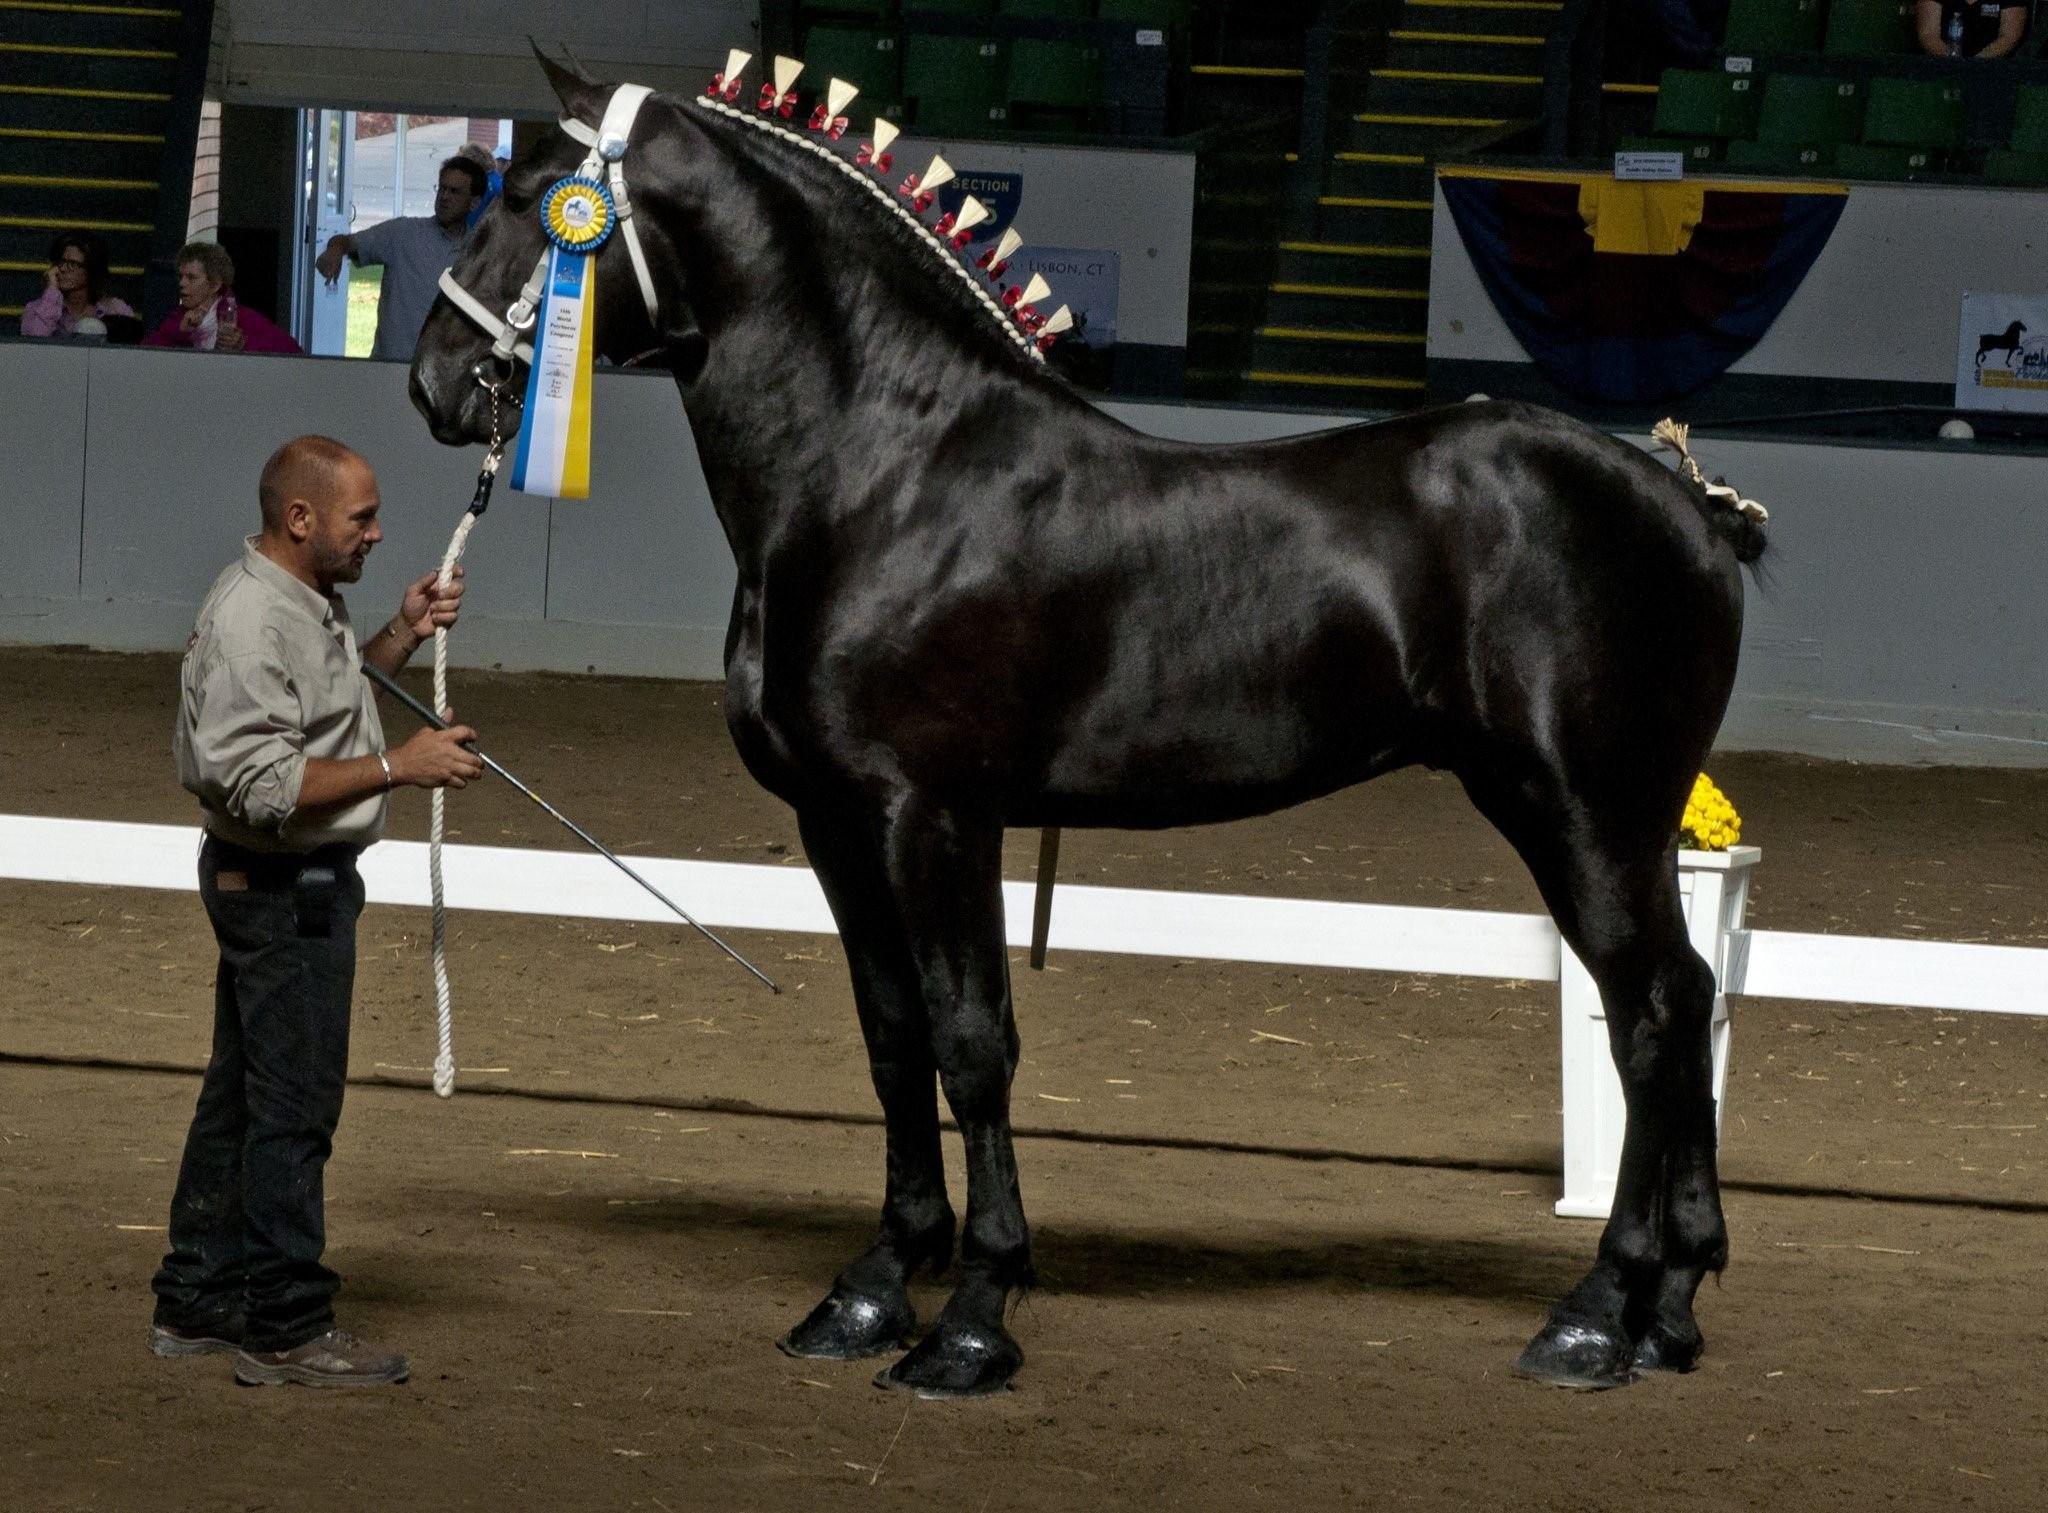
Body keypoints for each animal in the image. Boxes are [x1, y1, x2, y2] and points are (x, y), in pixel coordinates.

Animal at [411, 62, 1761, 1408]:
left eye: (534, 197)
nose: (433, 381)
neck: (884, 473)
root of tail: (1687, 505)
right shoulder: (837, 821)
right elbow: (892, 1040)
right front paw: (869, 1291)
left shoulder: (935, 817)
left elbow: (971, 1045)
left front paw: (971, 1320)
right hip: (1619, 824)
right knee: (1686, 998)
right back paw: (1670, 1308)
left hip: (1583, 814)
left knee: (1646, 1015)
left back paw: (1593, 1315)